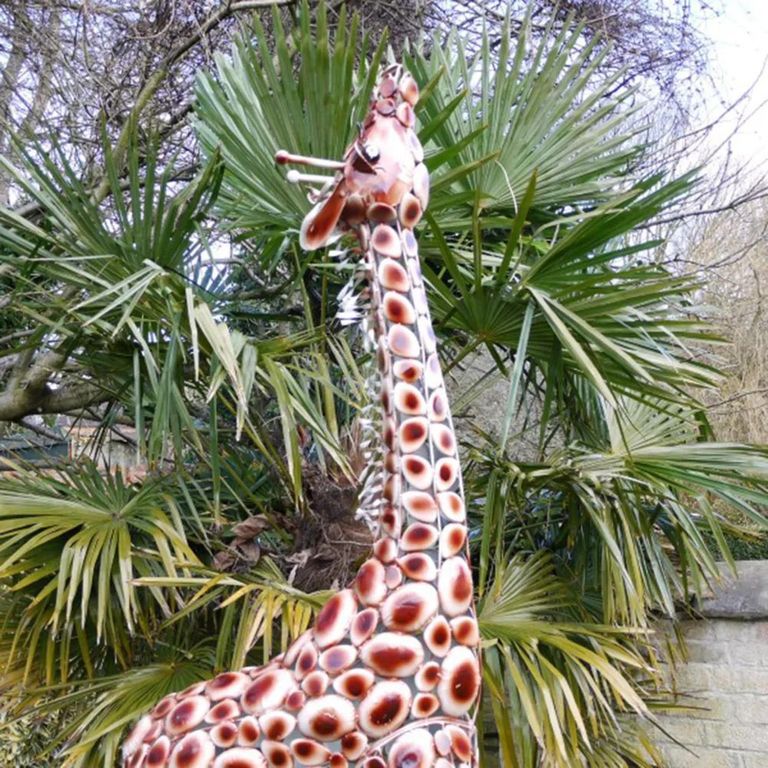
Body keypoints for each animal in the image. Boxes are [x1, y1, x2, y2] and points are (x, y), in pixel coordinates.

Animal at [121, 63, 480, 768]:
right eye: (365, 155)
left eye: (418, 148)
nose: (398, 75)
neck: (408, 563)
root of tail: (136, 735)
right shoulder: (432, 743)